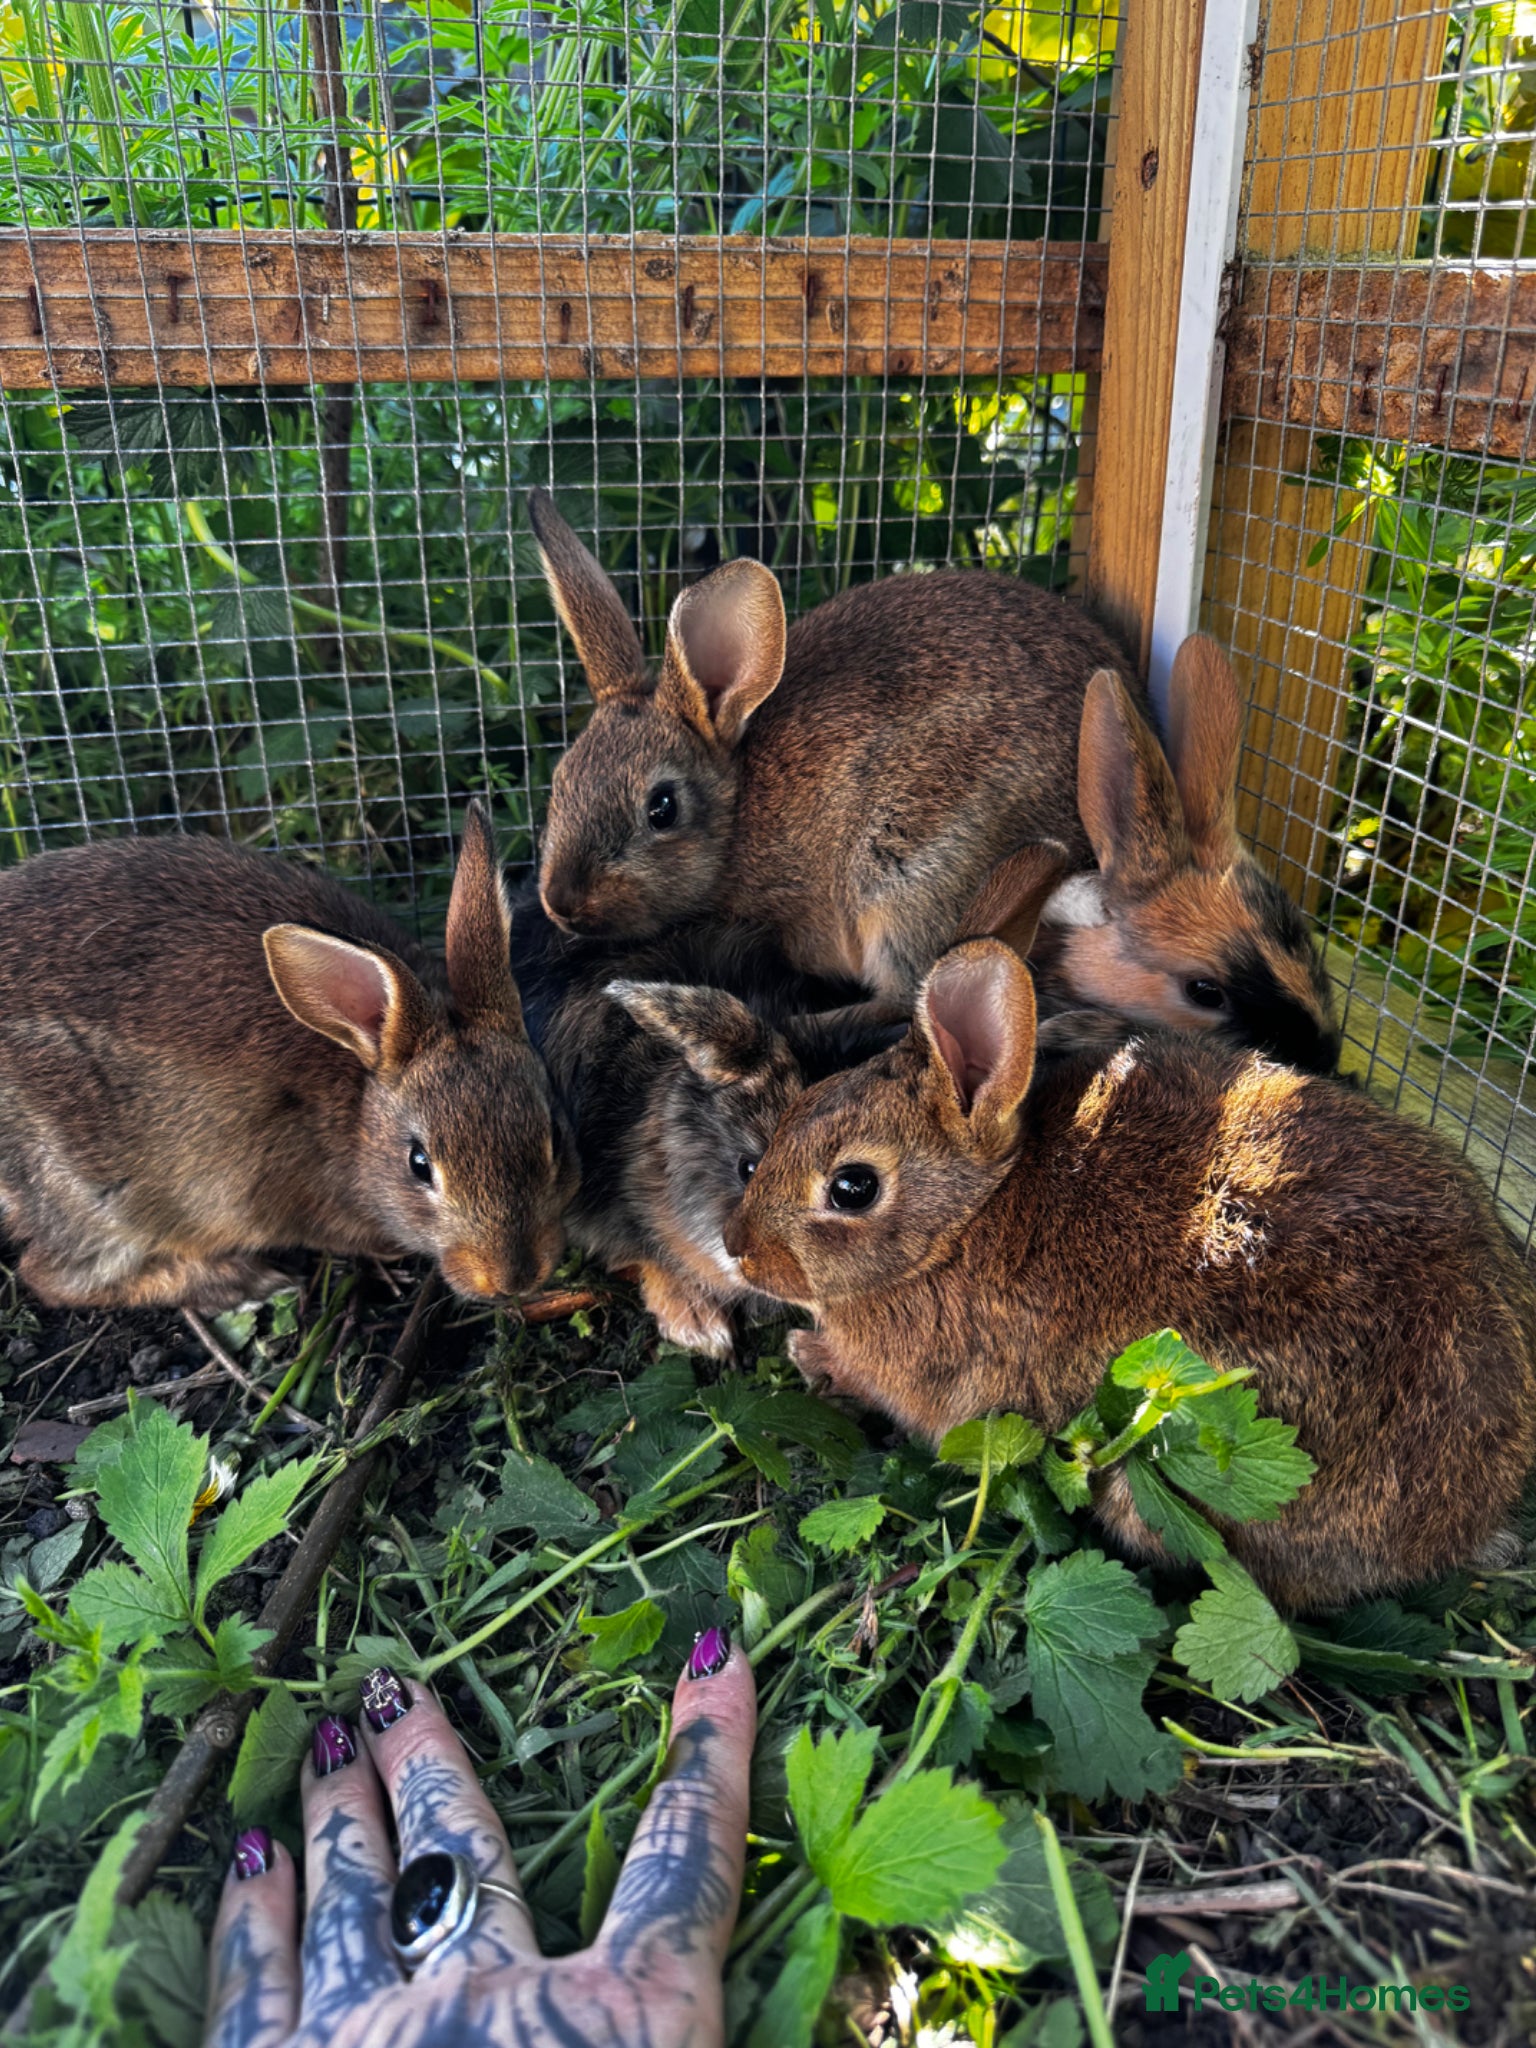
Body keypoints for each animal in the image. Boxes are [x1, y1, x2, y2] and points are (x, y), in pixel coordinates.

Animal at [0, 803, 575, 1312]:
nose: (513, 1279)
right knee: (52, 1275)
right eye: (419, 1165)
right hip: (99, 1193)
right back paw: (239, 1282)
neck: (360, 1105)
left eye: (554, 1136)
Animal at [527, 490, 1340, 1072]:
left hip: (902, 871)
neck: (736, 814)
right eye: (560, 780)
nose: (560, 902)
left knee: (907, 994)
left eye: (661, 808)